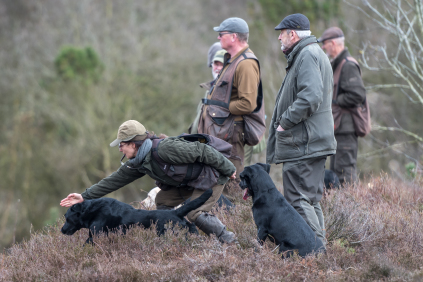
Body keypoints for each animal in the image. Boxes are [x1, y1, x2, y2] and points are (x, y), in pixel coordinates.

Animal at [61, 188, 214, 243]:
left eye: (67, 218)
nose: (62, 230)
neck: (92, 210)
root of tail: (175, 212)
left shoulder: (95, 234)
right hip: (188, 229)